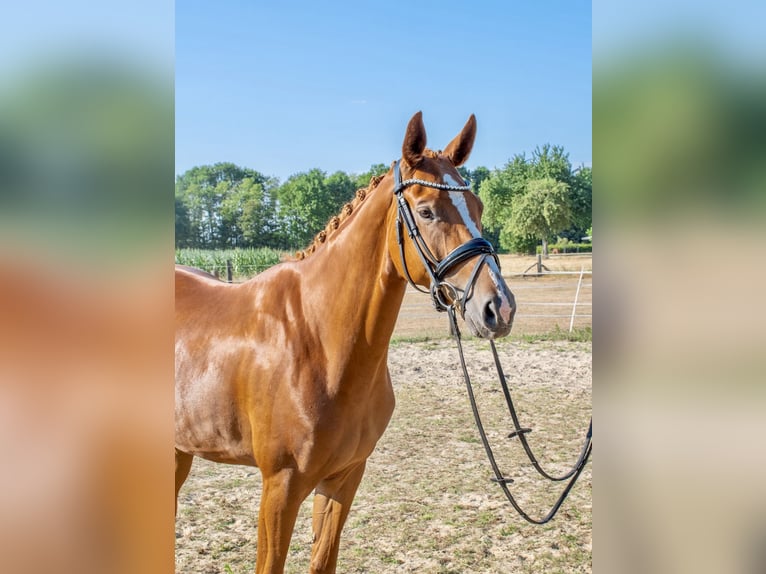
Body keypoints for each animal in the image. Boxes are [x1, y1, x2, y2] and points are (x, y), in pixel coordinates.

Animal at [175, 112, 516, 573]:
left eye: (477, 207)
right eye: (426, 210)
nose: (499, 307)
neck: (319, 341)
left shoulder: (344, 478)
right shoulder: (280, 488)